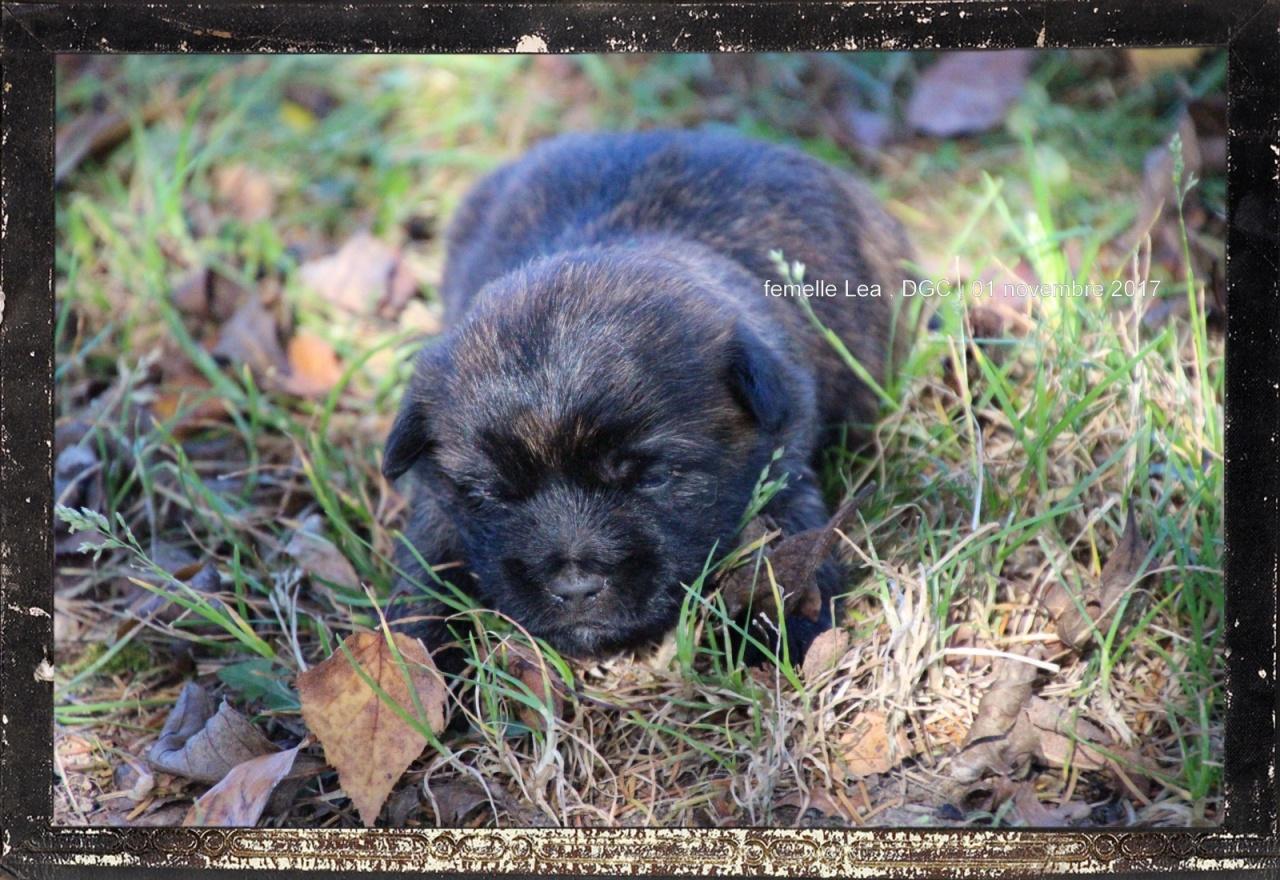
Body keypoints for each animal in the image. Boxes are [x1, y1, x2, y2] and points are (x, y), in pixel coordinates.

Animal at [378, 130, 911, 665]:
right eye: (489, 495)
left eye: (654, 479)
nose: (575, 587)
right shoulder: (436, 509)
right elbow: (424, 579)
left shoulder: (783, 475)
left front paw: (782, 638)